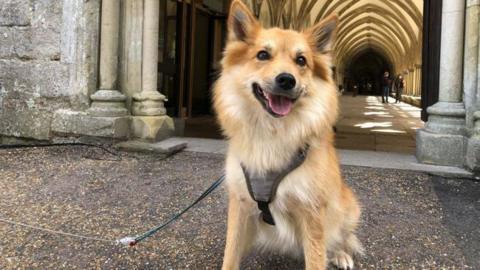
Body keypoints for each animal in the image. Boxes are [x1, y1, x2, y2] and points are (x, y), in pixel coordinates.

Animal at [214, 1, 364, 268]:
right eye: (263, 55)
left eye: (301, 60)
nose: (286, 79)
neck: (272, 133)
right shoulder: (240, 203)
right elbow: (230, 254)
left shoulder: (312, 211)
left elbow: (317, 257)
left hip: (349, 207)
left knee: (342, 236)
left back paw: (341, 253)